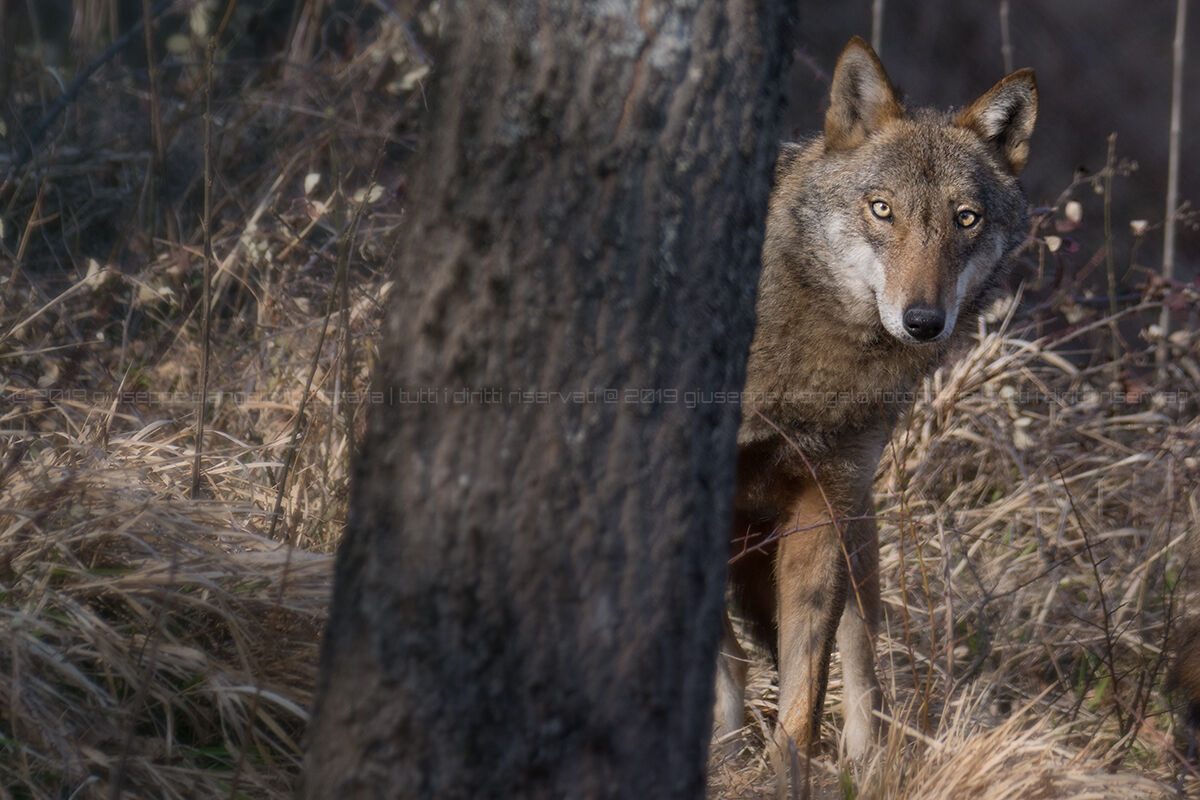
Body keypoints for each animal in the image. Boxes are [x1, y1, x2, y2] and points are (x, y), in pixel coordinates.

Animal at [715, 36, 1037, 780]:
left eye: (966, 219)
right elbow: (724, 656)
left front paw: (788, 779)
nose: (923, 321)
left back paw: (865, 768)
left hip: (858, 524)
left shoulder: (822, 502)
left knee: (861, 657)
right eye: (882, 208)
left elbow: (804, 687)